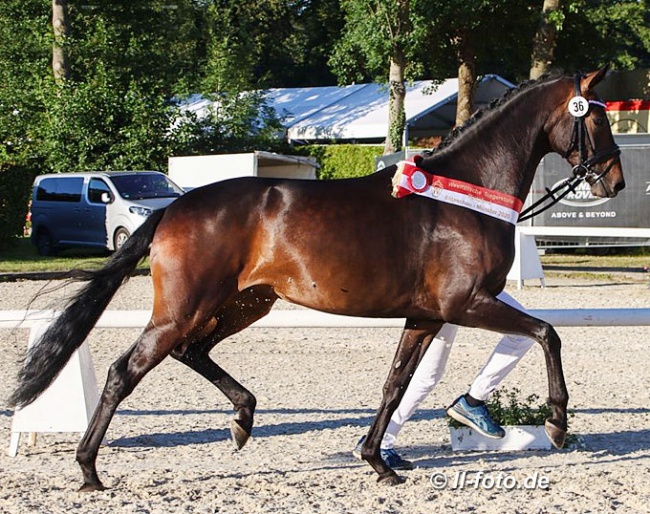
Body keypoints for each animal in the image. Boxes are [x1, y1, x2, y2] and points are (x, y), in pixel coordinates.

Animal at [6, 69, 624, 488]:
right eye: (596, 116)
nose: (614, 179)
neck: (463, 193)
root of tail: (174, 208)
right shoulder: (467, 303)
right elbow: (548, 334)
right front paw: (557, 423)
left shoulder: (427, 316)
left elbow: (397, 384)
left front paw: (377, 460)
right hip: (187, 307)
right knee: (124, 370)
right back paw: (89, 468)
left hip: (242, 305)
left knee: (191, 352)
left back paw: (243, 418)